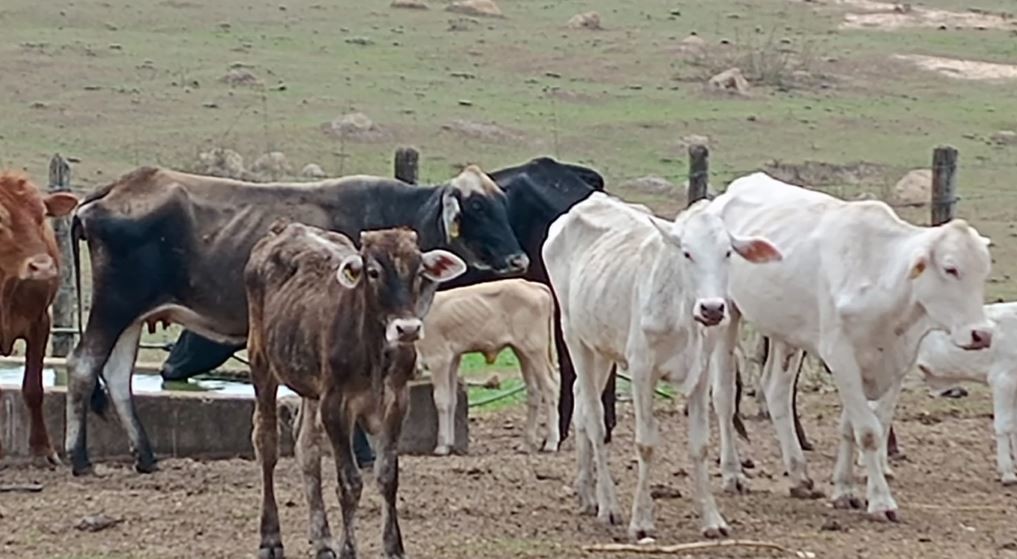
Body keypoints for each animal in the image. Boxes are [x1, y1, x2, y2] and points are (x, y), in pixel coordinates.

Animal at [244, 222, 465, 559]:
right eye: (373, 271)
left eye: (418, 271)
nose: (408, 329)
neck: (374, 351)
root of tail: (284, 229)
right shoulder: (335, 405)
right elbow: (350, 483)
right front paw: (348, 548)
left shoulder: (396, 402)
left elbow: (387, 476)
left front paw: (393, 547)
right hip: (261, 361)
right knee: (266, 444)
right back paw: (270, 539)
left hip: (310, 386)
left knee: (306, 448)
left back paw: (322, 540)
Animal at [421, 280, 565, 455]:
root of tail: (532, 285)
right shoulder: (453, 358)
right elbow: (451, 400)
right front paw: (450, 443)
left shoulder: (438, 358)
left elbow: (441, 400)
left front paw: (441, 446)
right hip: (522, 351)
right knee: (534, 390)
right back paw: (526, 444)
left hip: (535, 348)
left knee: (550, 386)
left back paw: (551, 442)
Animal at [545, 191, 781, 540]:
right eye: (687, 253)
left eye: (727, 252)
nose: (712, 308)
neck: (682, 312)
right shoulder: (642, 370)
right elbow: (646, 444)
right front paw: (641, 520)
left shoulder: (700, 373)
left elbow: (700, 445)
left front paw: (712, 519)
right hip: (575, 337)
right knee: (594, 417)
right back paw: (608, 505)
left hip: (602, 348)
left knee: (580, 404)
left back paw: (587, 493)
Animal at [707, 172, 992, 524]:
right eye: (951, 268)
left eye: (984, 270)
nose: (981, 334)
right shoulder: (840, 357)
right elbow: (868, 431)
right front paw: (881, 502)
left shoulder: (893, 362)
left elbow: (853, 427)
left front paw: (844, 490)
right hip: (727, 315)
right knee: (723, 395)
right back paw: (733, 474)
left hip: (786, 335)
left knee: (776, 392)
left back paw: (799, 475)